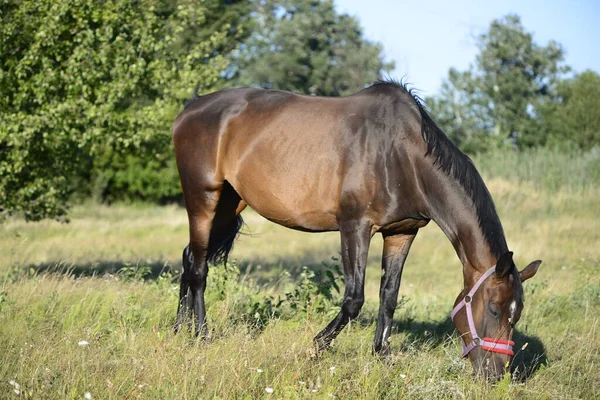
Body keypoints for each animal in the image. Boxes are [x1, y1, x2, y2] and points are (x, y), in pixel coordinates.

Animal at [171, 79, 540, 380]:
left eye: (517, 314)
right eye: (494, 309)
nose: (495, 375)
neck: (401, 154)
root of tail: (191, 108)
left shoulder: (402, 232)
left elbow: (388, 296)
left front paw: (382, 355)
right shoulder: (354, 227)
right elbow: (354, 298)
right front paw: (315, 346)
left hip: (229, 203)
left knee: (189, 257)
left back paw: (178, 330)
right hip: (203, 198)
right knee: (199, 267)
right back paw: (201, 335)